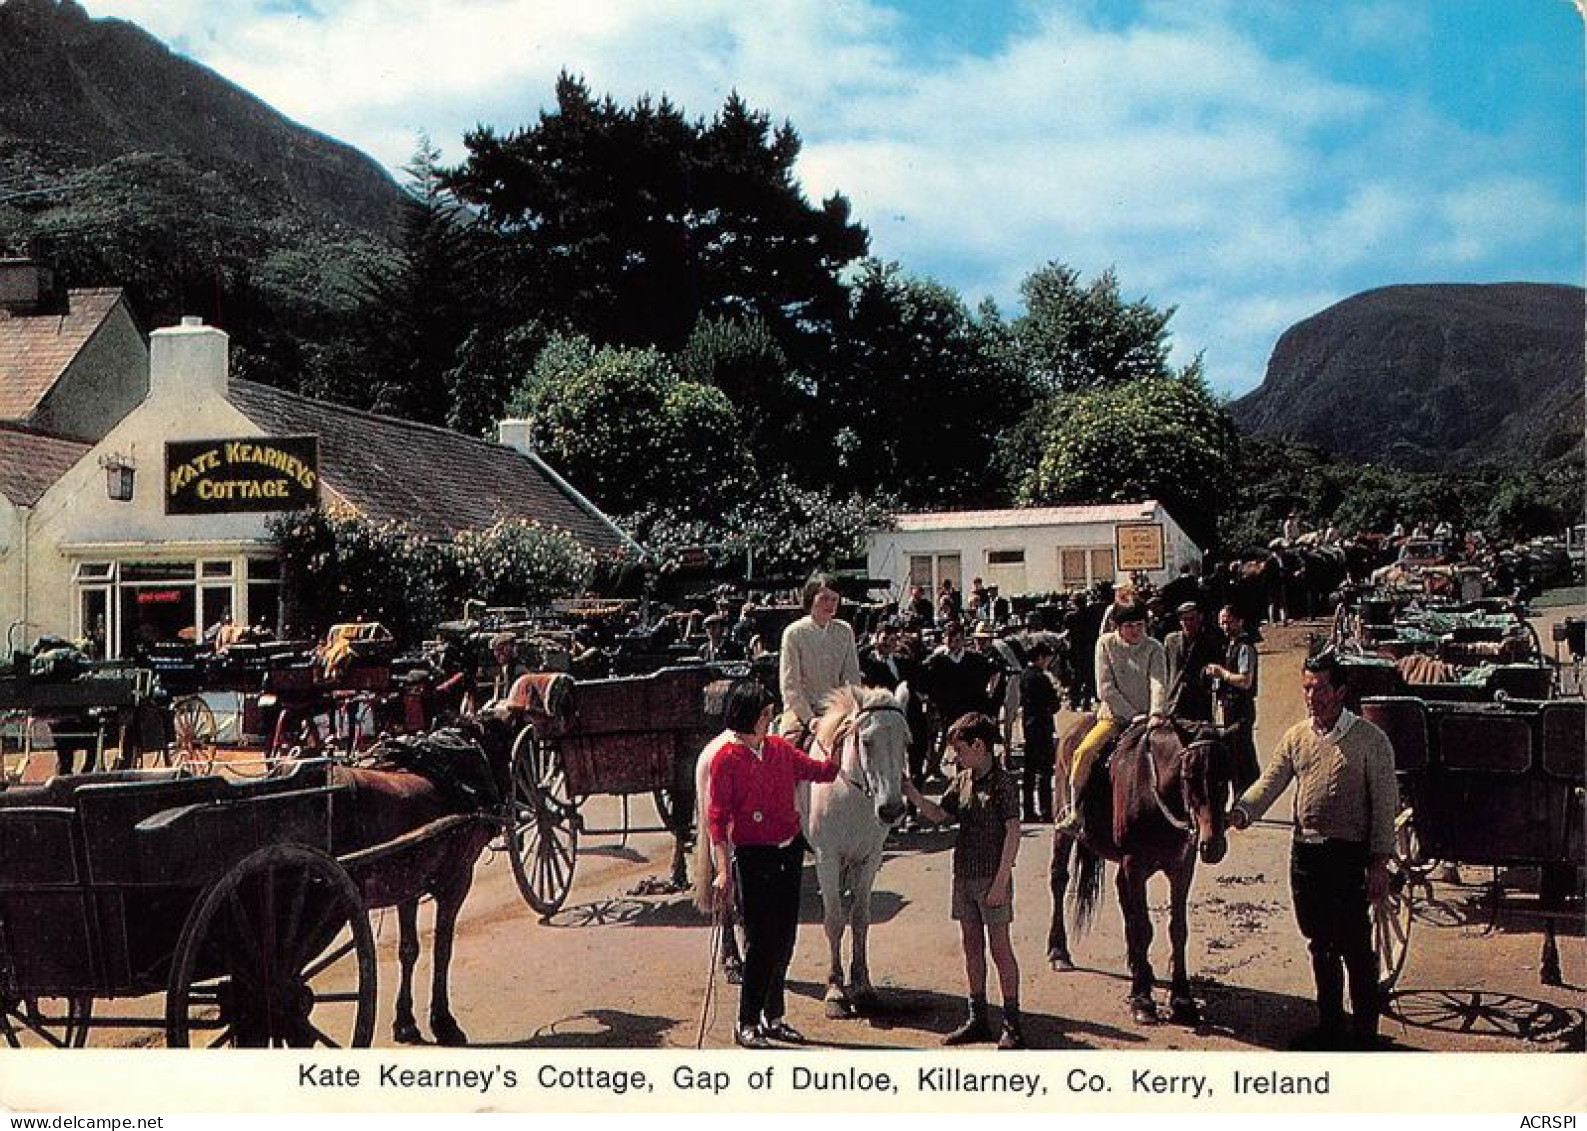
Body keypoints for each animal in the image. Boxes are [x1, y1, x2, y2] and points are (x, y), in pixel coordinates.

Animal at [691, 685, 914, 1021]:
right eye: (866, 741)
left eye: (905, 740)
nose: (891, 809)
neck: (848, 791)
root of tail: (716, 742)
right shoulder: (827, 859)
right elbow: (835, 922)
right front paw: (836, 992)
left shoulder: (869, 859)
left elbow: (860, 920)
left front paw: (863, 988)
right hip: (724, 847)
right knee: (728, 900)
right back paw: (733, 964)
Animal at [1047, 720, 1231, 1027]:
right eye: (1189, 775)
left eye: (1225, 778)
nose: (1212, 844)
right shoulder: (1135, 864)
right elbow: (1144, 928)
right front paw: (1143, 1000)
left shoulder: (1182, 867)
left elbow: (1177, 929)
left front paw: (1182, 1000)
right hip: (1065, 833)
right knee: (1059, 880)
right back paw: (1058, 951)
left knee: (1124, 900)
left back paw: (1137, 964)